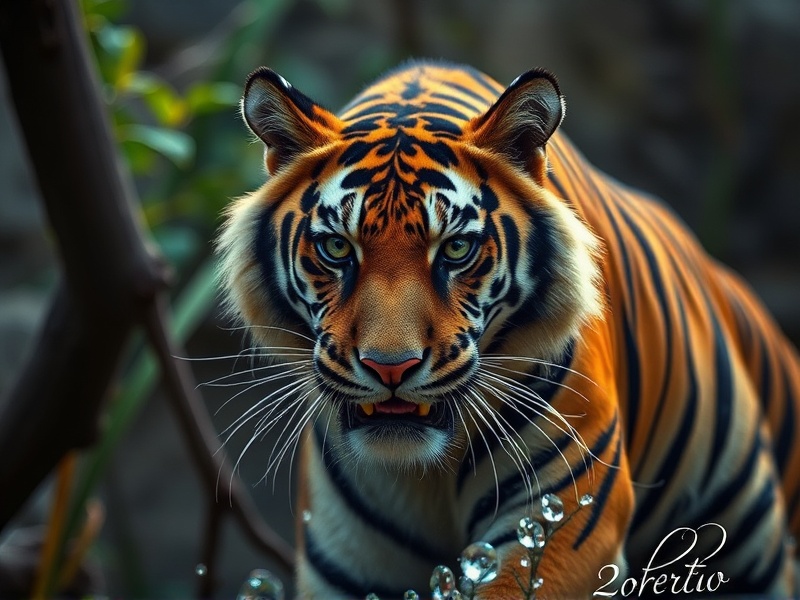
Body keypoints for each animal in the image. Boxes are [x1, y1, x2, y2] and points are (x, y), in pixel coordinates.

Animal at [217, 59, 800, 598]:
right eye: (338, 247)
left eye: (456, 248)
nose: (391, 368)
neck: (422, 476)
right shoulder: (348, 561)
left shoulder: (560, 515)